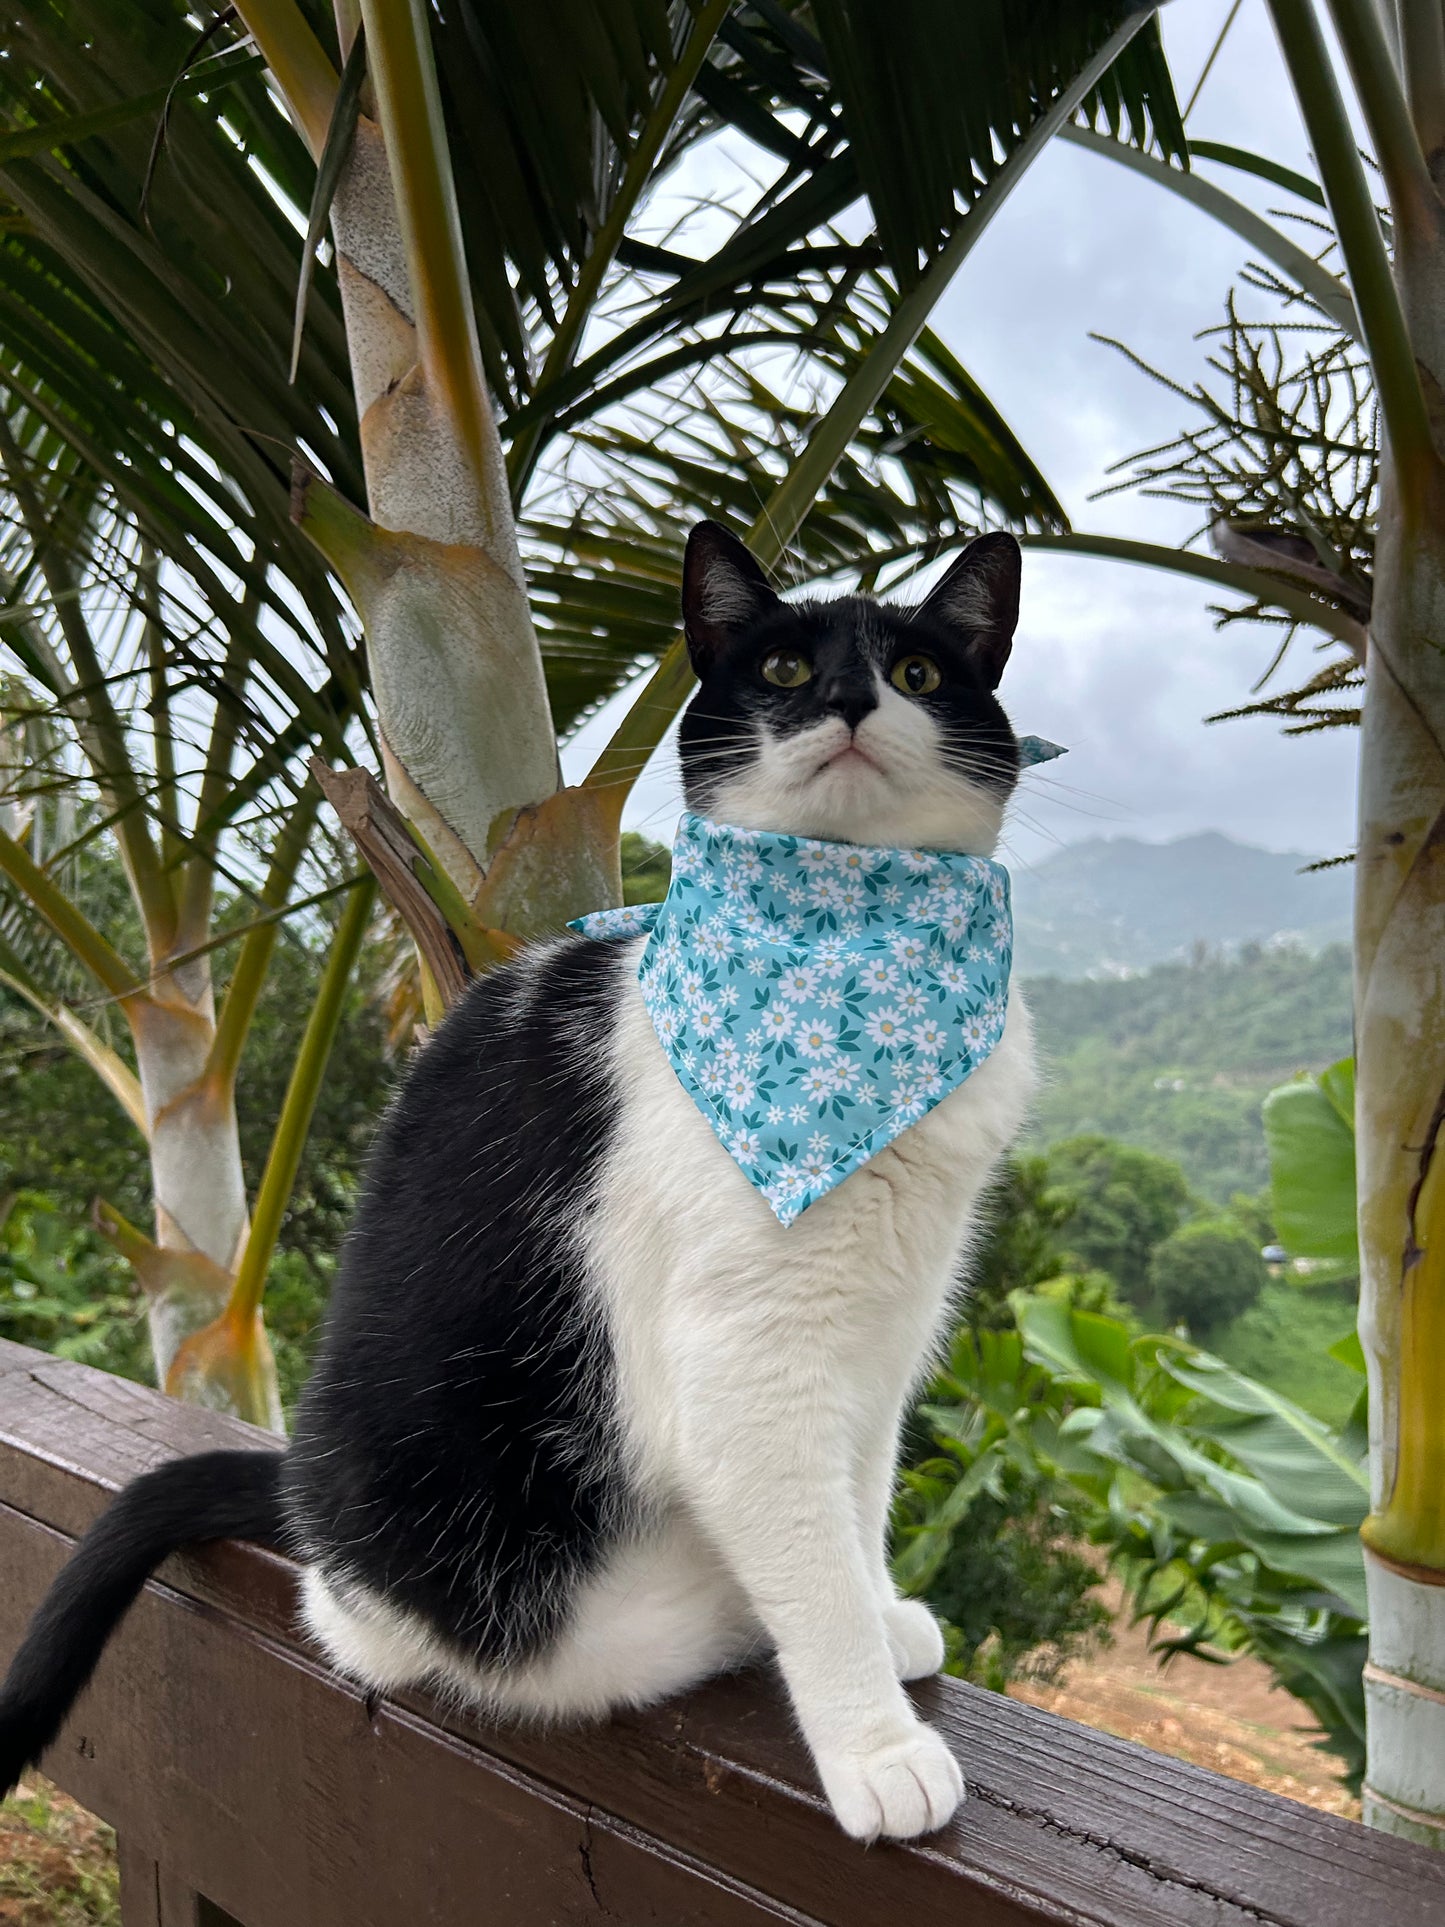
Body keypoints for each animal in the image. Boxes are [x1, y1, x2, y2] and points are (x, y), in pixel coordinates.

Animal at [0, 520, 1040, 1842]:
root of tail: (315, 1512)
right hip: (519, 1590)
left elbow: (854, 1505)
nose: (851, 701)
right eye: (784, 672)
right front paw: (873, 1741)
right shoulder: (744, 1364)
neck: (841, 955)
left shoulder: (880, 1334)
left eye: (915, 673)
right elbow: (809, 1554)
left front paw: (883, 1612)